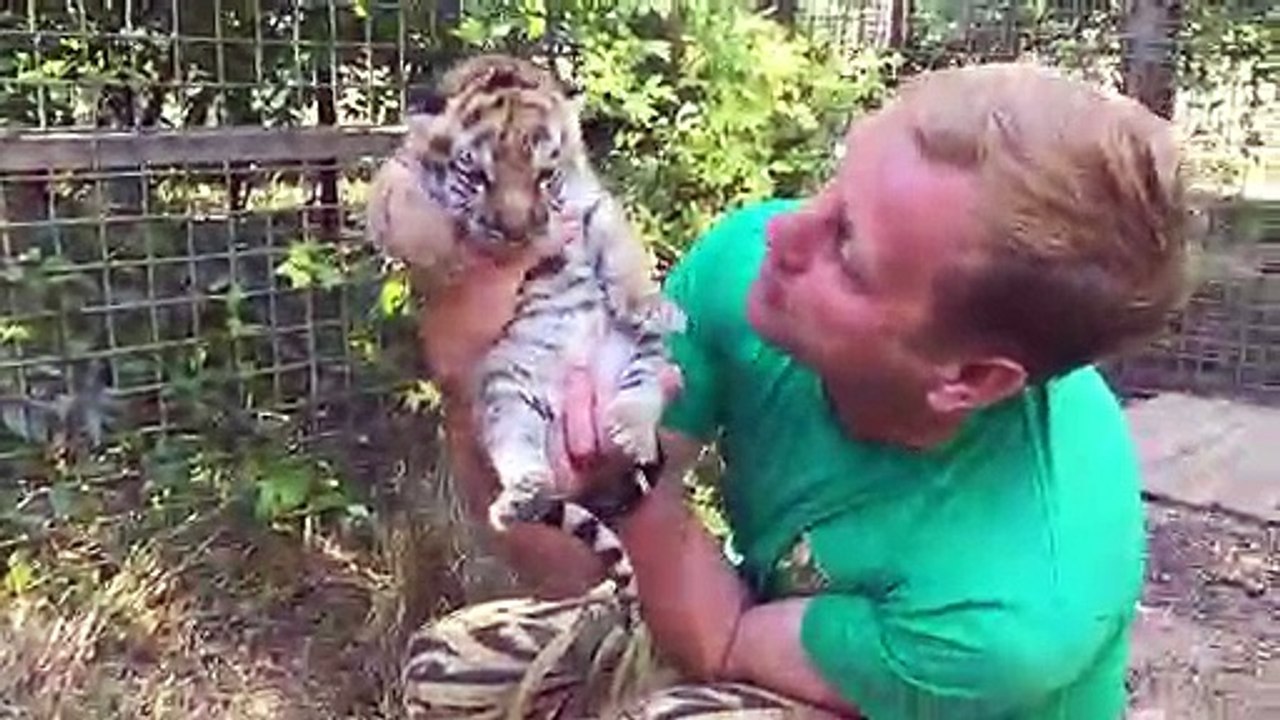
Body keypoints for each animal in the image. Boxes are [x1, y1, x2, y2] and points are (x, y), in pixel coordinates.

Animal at [364, 53, 684, 607]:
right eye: (477, 172)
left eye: (545, 174)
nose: (516, 231)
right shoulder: (397, 181)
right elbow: (407, 208)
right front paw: (445, 244)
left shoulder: (592, 202)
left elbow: (619, 246)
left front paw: (648, 302)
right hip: (508, 387)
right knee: (520, 451)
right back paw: (521, 499)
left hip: (636, 357)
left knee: (641, 391)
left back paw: (631, 431)